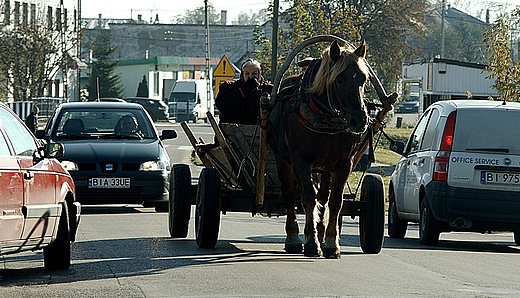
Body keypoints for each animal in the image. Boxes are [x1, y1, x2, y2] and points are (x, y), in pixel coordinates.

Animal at [268, 40, 370, 258]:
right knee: (290, 195)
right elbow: (308, 197)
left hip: (324, 169)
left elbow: (335, 201)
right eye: (339, 79)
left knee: (323, 195)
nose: (360, 120)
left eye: (363, 79)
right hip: (284, 161)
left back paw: (321, 234)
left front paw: (331, 242)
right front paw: (311, 242)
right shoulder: (300, 161)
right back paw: (293, 238)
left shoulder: (343, 164)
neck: (325, 117)